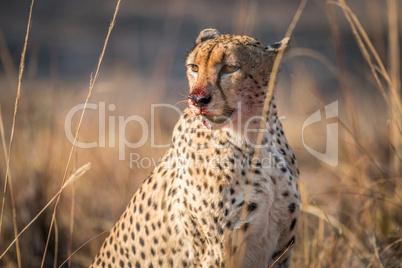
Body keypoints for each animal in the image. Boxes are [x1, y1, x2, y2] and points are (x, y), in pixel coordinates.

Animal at [90, 28, 298, 266]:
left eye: (230, 68)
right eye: (194, 67)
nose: (197, 100)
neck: (256, 137)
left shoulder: (281, 249)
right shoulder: (218, 252)